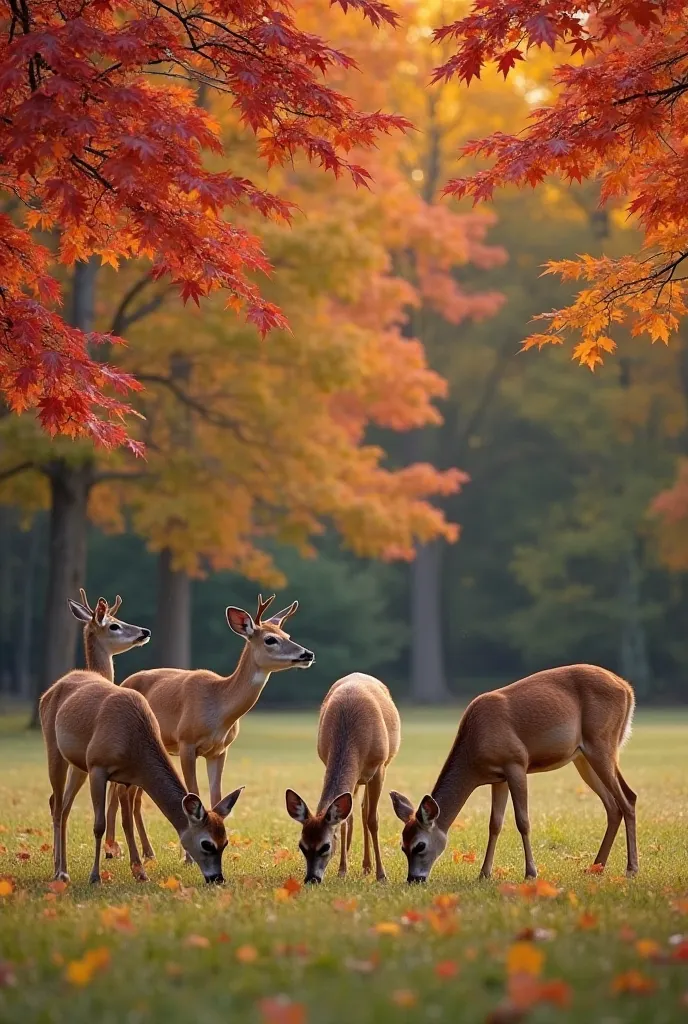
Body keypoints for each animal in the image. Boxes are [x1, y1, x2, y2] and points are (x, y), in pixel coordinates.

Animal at [39, 659, 244, 884]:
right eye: (206, 843)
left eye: (225, 842)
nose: (217, 878)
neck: (133, 745)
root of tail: (50, 690)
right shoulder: (97, 766)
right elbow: (99, 825)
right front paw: (95, 877)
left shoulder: (129, 778)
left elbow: (127, 820)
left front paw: (140, 872)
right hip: (54, 748)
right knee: (58, 806)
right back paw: (60, 872)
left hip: (78, 765)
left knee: (64, 807)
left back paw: (61, 868)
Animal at [105, 593, 315, 864]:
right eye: (270, 639)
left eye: (287, 634)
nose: (307, 654)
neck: (219, 706)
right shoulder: (186, 742)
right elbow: (192, 793)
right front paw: (188, 857)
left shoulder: (219, 750)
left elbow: (216, 796)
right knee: (120, 792)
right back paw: (114, 850)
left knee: (132, 796)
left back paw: (145, 852)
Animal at [286, 675, 403, 884]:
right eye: (301, 845)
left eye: (325, 846)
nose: (311, 878)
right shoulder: (327, 759)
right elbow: (344, 821)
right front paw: (342, 870)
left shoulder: (379, 767)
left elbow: (373, 820)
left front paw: (382, 875)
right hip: (357, 779)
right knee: (354, 813)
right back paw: (358, 862)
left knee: (365, 812)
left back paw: (368, 866)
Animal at [389, 663, 638, 880]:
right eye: (402, 846)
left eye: (419, 845)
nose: (414, 879)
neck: (474, 750)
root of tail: (627, 688)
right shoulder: (497, 778)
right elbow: (494, 823)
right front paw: (484, 873)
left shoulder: (516, 763)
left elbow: (522, 821)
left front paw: (531, 873)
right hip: (583, 757)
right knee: (613, 805)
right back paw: (596, 867)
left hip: (601, 742)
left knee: (628, 798)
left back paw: (631, 869)